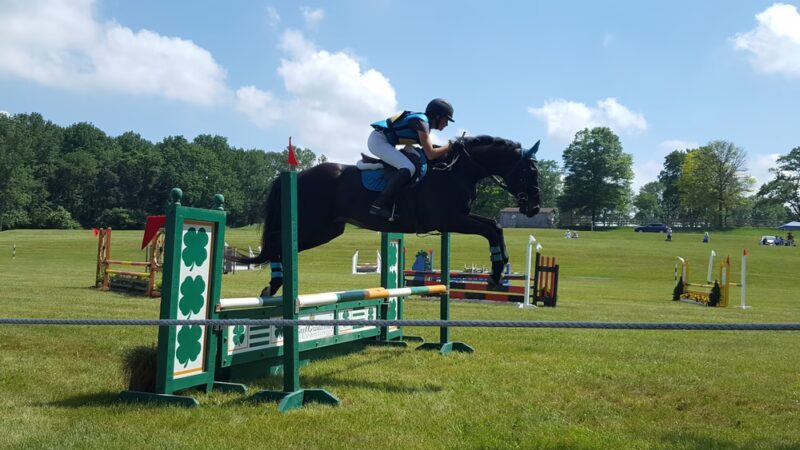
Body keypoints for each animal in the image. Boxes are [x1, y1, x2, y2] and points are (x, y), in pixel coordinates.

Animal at [236, 135, 541, 296]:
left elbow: (494, 227)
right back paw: (274, 284)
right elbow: (490, 229)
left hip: (327, 230)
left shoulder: (460, 217)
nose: (534, 208)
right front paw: (496, 273)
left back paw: (273, 285)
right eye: (529, 172)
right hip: (313, 228)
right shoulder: (449, 219)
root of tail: (296, 175)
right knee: (278, 243)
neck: (456, 170)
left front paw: (497, 271)